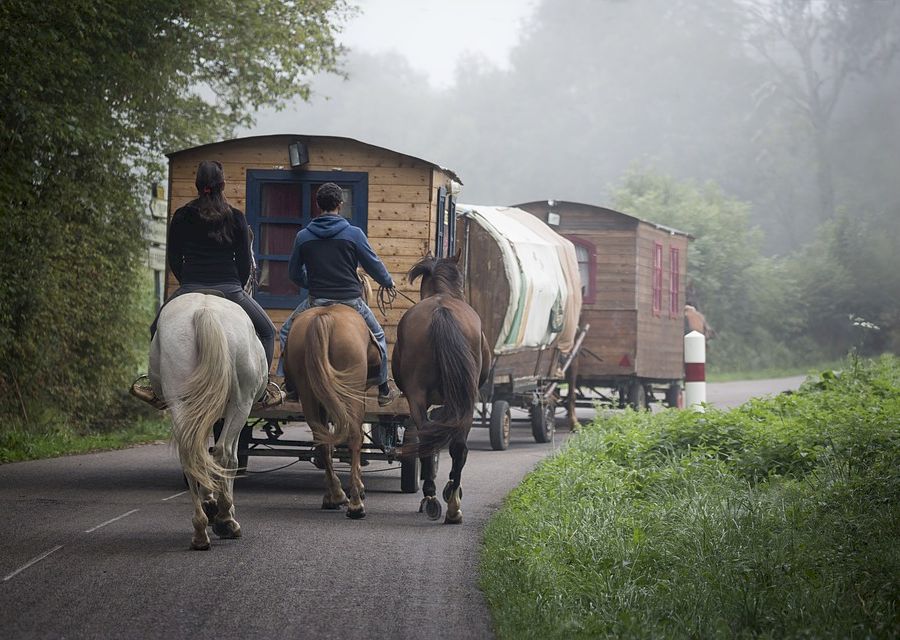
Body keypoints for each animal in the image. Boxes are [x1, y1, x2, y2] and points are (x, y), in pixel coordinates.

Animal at [150, 294, 268, 552]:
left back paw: (200, 530)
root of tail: (204, 311)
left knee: (190, 455)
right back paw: (225, 521)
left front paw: (210, 503)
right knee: (225, 454)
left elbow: (205, 455)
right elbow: (226, 458)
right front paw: (221, 510)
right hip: (240, 404)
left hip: (181, 402)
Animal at [284, 302, 378, 516]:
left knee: (322, 439)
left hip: (309, 393)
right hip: (350, 391)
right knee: (354, 436)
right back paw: (355, 504)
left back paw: (335, 496)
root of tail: (324, 318)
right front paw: (359, 488)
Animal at [394, 250, 492, 524]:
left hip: (420, 397)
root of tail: (441, 311)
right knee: (456, 445)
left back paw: (433, 498)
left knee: (431, 437)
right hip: (463, 399)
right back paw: (451, 502)